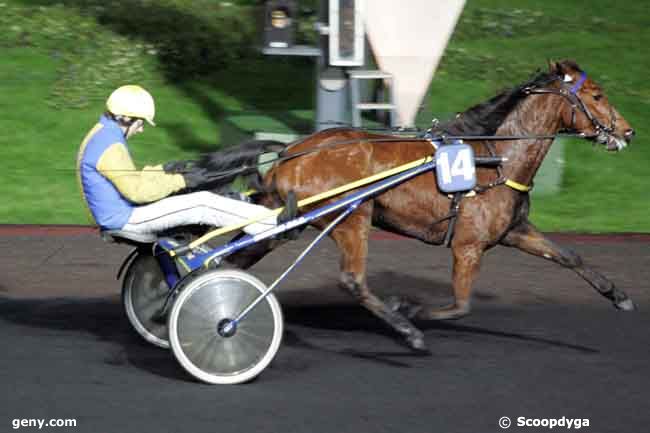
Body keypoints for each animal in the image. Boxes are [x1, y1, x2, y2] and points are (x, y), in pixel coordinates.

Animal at [197, 60, 632, 352]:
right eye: (596, 95)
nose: (627, 131)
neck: (495, 158)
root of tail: (292, 150)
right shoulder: (468, 246)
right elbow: (461, 305)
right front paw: (409, 309)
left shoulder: (513, 231)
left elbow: (569, 256)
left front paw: (618, 295)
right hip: (352, 216)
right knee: (352, 280)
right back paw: (407, 331)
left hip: (284, 220)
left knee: (235, 256)